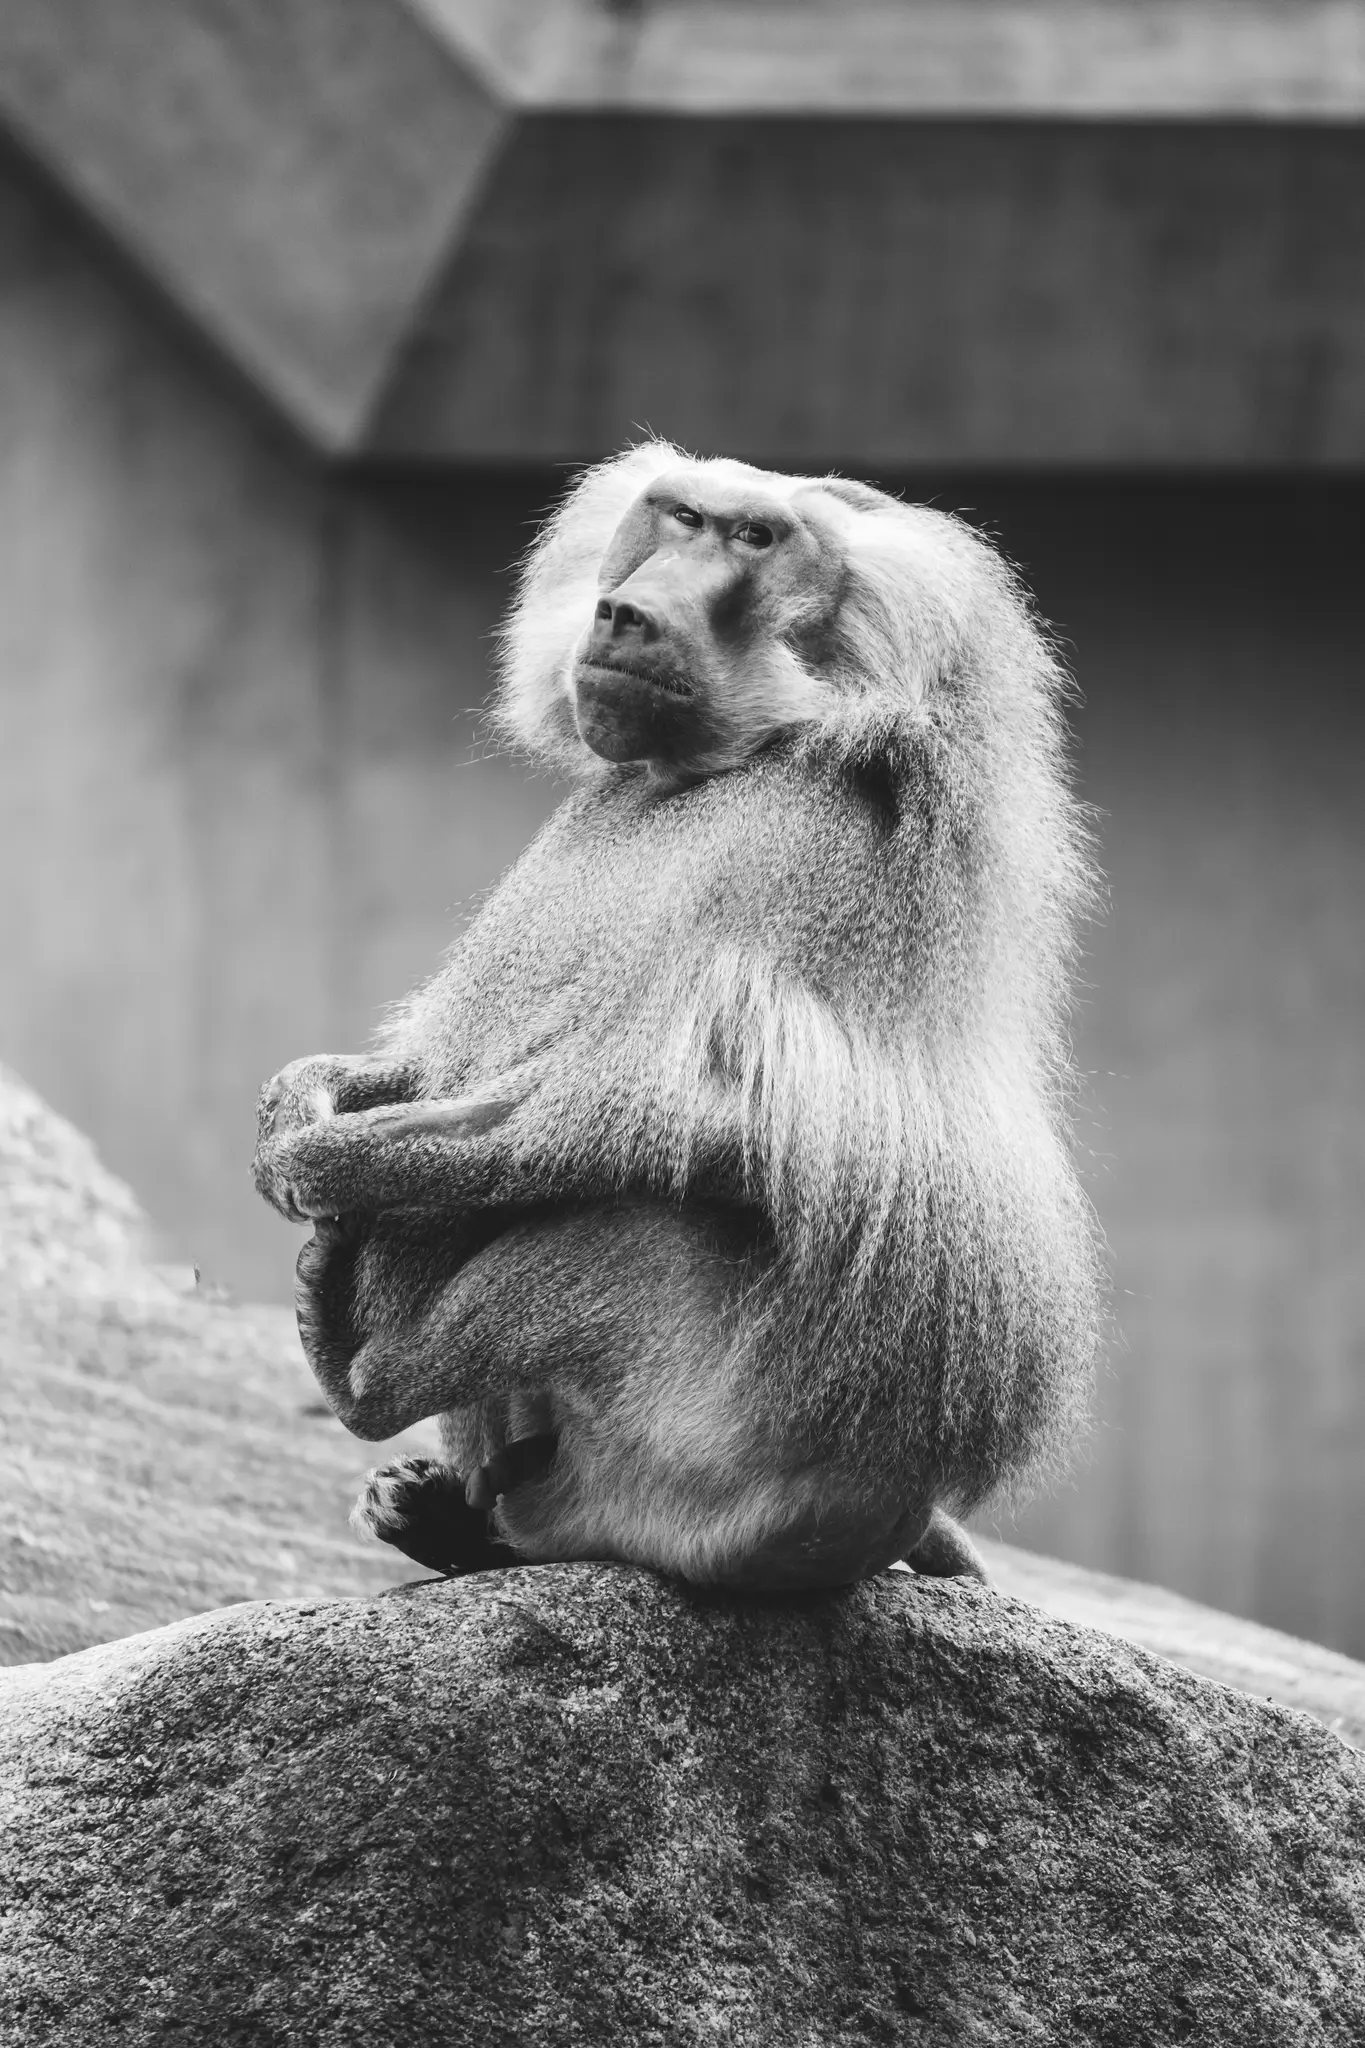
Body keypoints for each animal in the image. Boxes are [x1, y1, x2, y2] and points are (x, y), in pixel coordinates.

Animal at [253, 443, 1104, 1592]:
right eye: (681, 516)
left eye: (754, 538)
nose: (623, 613)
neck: (722, 764)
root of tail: (877, 1520)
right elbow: (434, 1066)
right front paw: (299, 1105)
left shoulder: (803, 846)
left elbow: (702, 1119)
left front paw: (336, 1163)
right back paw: (456, 1524)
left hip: (715, 1460)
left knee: (625, 1228)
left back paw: (357, 1361)